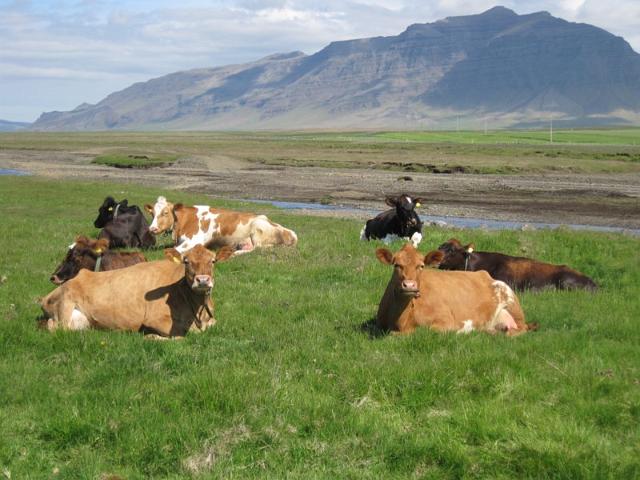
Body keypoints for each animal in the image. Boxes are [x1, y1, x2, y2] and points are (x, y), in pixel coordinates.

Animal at [40, 244, 234, 337]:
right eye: (186, 261)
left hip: (83, 322)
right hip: (65, 306)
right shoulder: (155, 319)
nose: (203, 280)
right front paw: (149, 336)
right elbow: (186, 333)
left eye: (213, 261)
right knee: (54, 327)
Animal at [144, 196, 298, 254]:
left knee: (256, 248)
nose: (152, 229)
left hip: (256, 228)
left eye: (165, 212)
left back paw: (236, 253)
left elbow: (172, 250)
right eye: (152, 213)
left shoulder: (195, 240)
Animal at [375, 244, 536, 335]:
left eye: (421, 266)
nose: (409, 285)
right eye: (397, 265)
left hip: (512, 304)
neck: (401, 321)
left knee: (519, 329)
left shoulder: (446, 321)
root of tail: (484, 274)